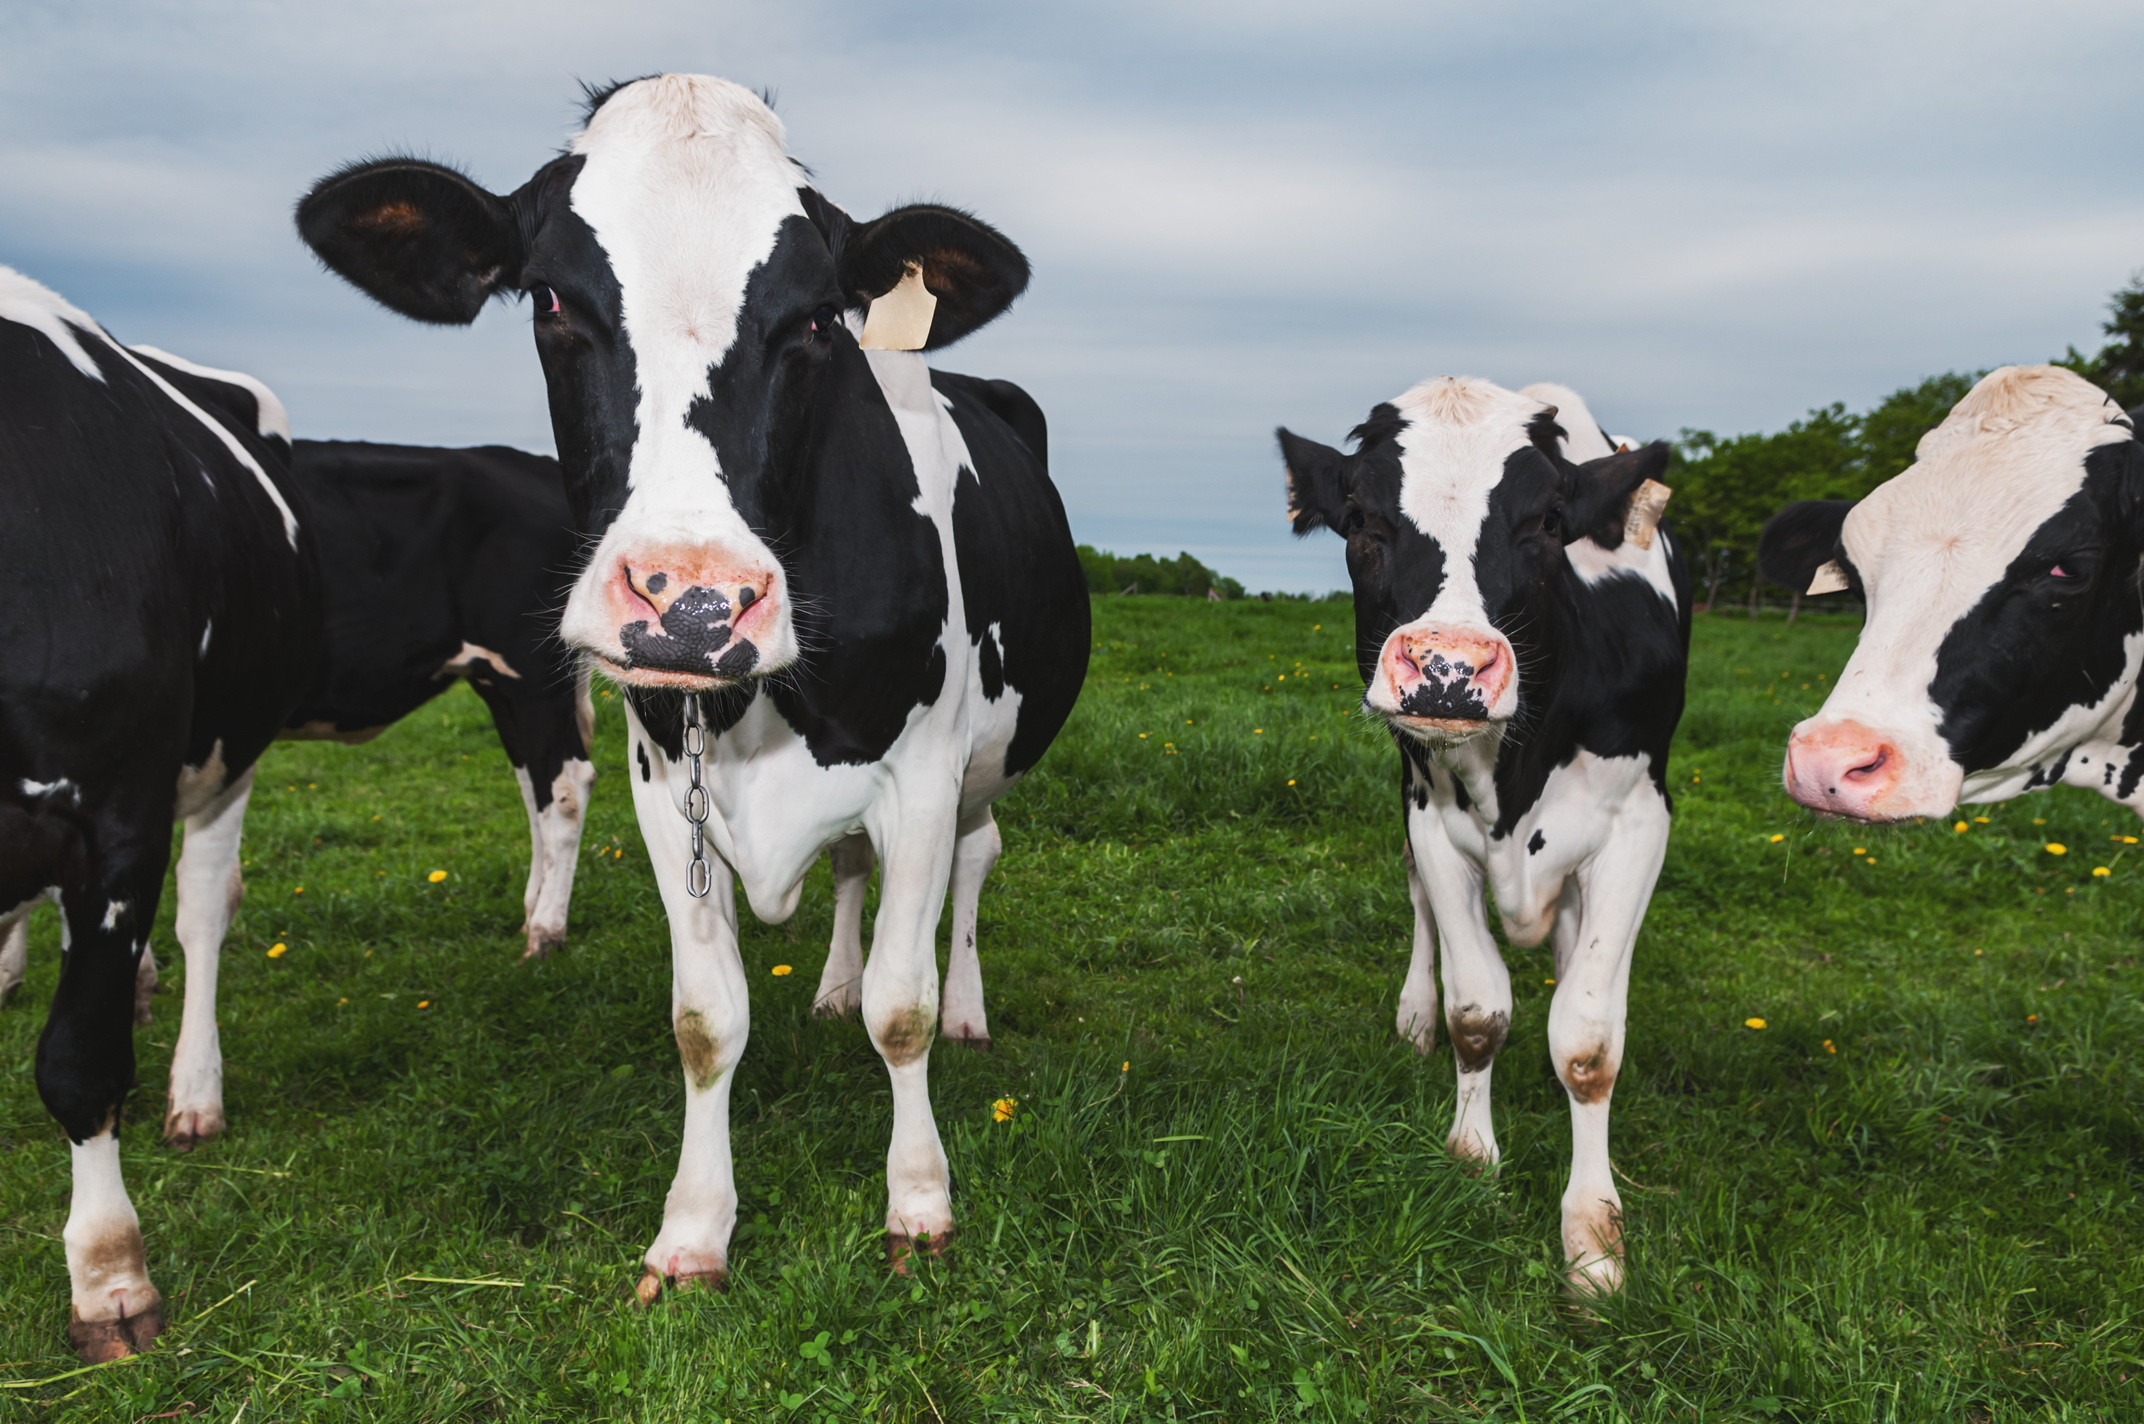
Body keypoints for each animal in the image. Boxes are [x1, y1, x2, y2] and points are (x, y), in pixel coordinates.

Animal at [0, 263, 319, 1355]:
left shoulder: (115, 815)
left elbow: (79, 1060)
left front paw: (109, 1281)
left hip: (227, 756)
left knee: (202, 910)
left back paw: (192, 1091)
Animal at [298, 75, 1089, 1286]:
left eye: (816, 319)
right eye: (549, 299)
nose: (695, 603)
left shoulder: (921, 769)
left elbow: (901, 1009)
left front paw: (918, 1200)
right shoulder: (661, 777)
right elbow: (706, 1020)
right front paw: (692, 1229)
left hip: (985, 760)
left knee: (973, 863)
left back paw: (967, 1007)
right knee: (847, 872)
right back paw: (828, 986)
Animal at [1269, 375, 1689, 1286]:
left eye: (1549, 521)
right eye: (1360, 518)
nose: (1448, 671)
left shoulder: (1641, 822)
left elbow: (1588, 1041)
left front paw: (1593, 1237)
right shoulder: (1432, 815)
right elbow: (1477, 1008)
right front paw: (1471, 1159)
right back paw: (1414, 1015)